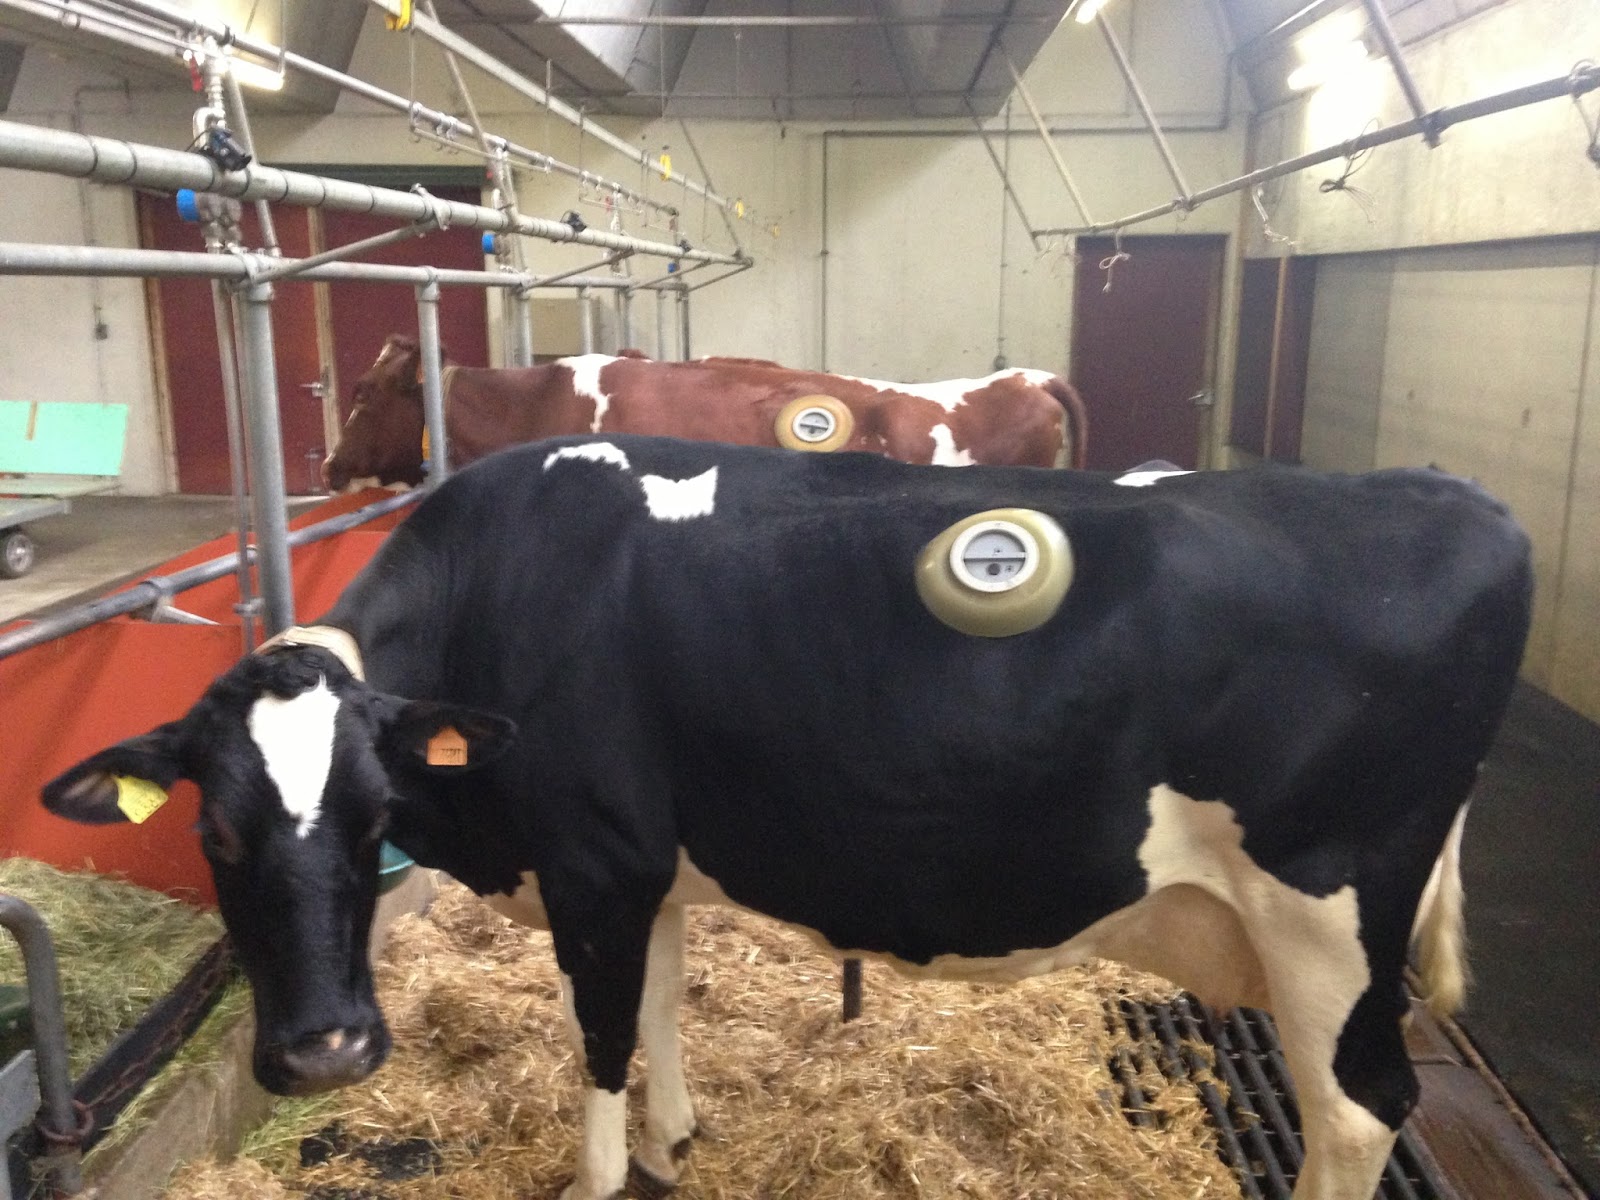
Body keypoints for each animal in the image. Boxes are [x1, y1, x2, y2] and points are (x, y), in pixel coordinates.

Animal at [43, 436, 1531, 1200]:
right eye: (217, 836)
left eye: (370, 817)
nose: (328, 1050)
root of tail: (1459, 496)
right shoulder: (642, 865)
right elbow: (656, 1011)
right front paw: (677, 1140)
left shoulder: (592, 859)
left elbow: (599, 1041)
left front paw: (607, 1172)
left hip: (1328, 915)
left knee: (1358, 1111)